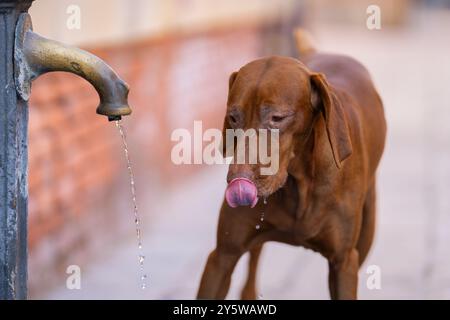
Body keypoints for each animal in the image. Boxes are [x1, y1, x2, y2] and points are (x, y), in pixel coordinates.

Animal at [197, 30, 386, 300]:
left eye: (277, 118)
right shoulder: (222, 256)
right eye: (233, 117)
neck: (299, 180)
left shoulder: (343, 262)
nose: (236, 180)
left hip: (366, 230)